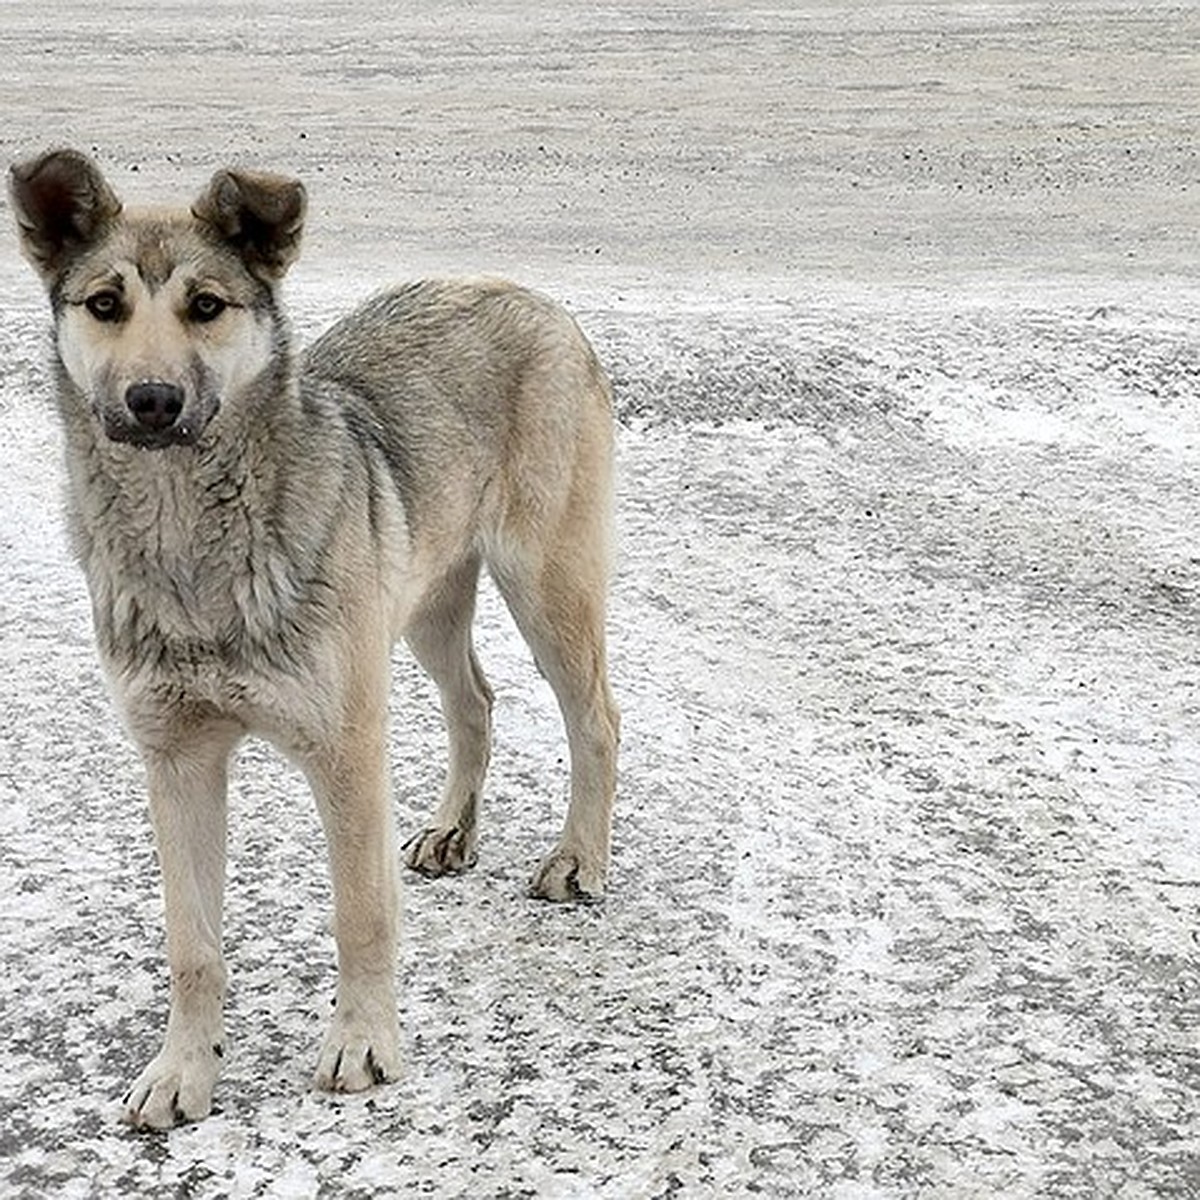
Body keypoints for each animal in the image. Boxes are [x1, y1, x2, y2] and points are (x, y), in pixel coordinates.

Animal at [9, 147, 624, 1123]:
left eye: (206, 306)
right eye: (104, 304)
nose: (152, 401)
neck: (192, 548)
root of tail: (528, 294)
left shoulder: (346, 749)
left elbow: (361, 913)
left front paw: (364, 1042)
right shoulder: (177, 761)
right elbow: (191, 944)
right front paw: (183, 1070)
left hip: (546, 588)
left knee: (596, 719)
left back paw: (578, 859)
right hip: (424, 605)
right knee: (476, 702)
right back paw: (452, 831)